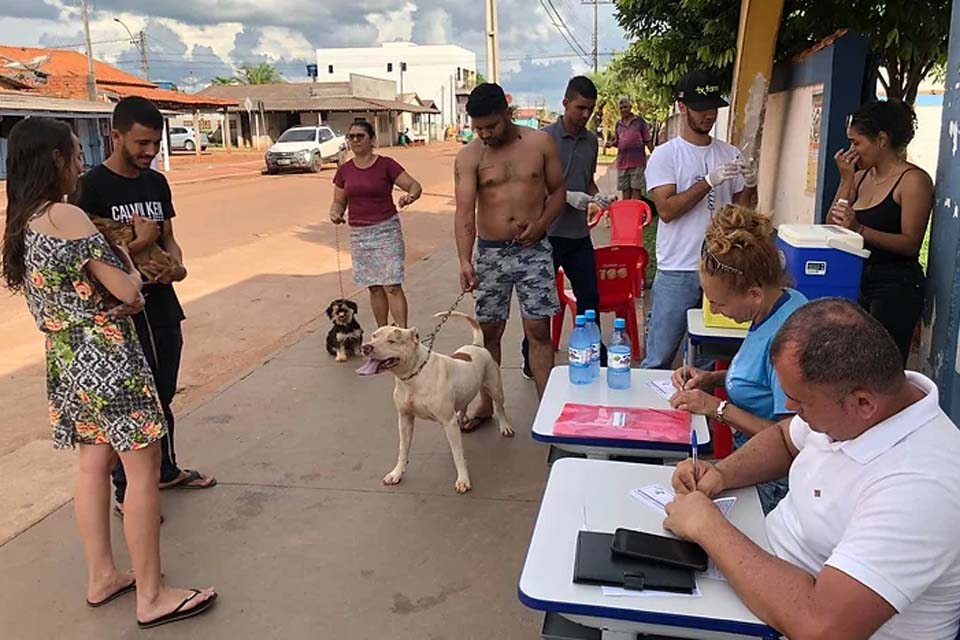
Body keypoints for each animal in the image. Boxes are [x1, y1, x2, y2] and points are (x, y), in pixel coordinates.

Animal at [356, 312, 512, 492]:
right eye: (374, 336)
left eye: (392, 341)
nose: (366, 347)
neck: (414, 375)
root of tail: (477, 345)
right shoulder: (404, 419)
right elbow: (403, 449)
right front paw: (396, 473)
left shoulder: (447, 421)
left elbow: (458, 454)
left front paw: (463, 480)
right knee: (464, 403)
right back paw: (462, 418)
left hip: (495, 388)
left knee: (500, 407)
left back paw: (505, 427)